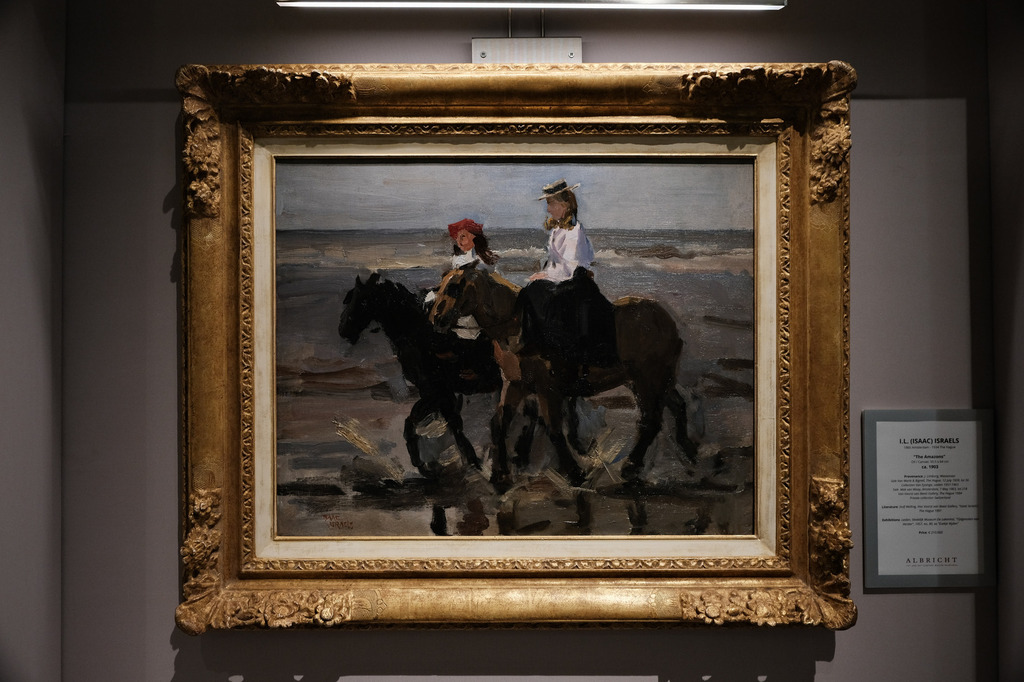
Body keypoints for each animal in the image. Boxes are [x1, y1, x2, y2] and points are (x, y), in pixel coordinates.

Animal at [338, 272, 504, 476]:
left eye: (362, 301)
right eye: (349, 299)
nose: (343, 329)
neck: (420, 336)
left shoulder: (438, 392)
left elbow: (429, 424)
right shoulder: (437, 394)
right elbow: (429, 423)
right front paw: (429, 464)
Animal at [428, 266, 698, 490]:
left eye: (454, 287)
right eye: (439, 286)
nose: (436, 319)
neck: (519, 326)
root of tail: (666, 319)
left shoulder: (548, 390)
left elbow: (554, 429)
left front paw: (574, 472)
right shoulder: (514, 385)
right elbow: (499, 424)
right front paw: (500, 474)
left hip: (647, 380)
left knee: (651, 420)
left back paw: (632, 466)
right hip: (655, 380)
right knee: (676, 405)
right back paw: (687, 448)